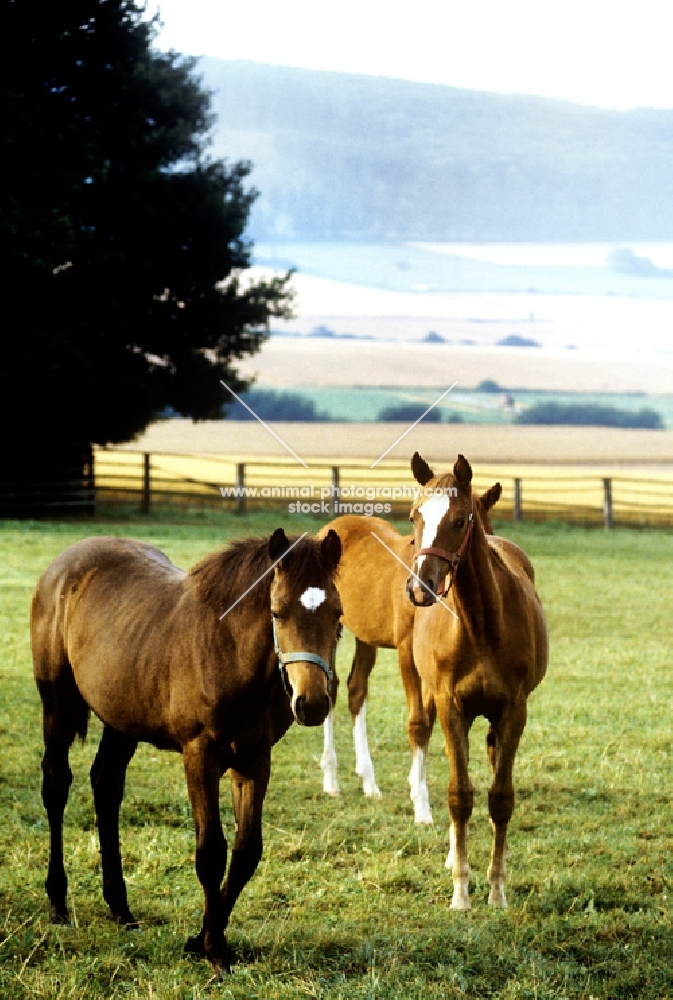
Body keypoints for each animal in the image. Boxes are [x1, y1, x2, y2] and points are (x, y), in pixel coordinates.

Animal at [30, 528, 342, 972]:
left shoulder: (254, 759)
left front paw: (201, 939)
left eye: (338, 615)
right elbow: (211, 851)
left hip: (122, 719)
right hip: (57, 704)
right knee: (56, 785)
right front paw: (214, 951)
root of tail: (64, 563)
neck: (228, 651)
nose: (312, 703)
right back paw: (58, 901)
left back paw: (121, 908)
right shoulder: (200, 755)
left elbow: (246, 852)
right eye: (278, 613)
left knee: (106, 786)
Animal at [318, 482, 502, 820]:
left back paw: (369, 782)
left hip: (366, 637)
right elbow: (418, 721)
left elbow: (429, 718)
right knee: (331, 686)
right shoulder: (407, 652)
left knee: (356, 688)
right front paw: (422, 806)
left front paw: (416, 785)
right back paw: (331, 780)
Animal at [404, 458, 544, 912]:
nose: (421, 587)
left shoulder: (514, 709)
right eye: (415, 516)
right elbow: (459, 795)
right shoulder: (451, 706)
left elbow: (500, 797)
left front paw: (497, 890)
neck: (481, 625)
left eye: (459, 519)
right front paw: (461, 892)